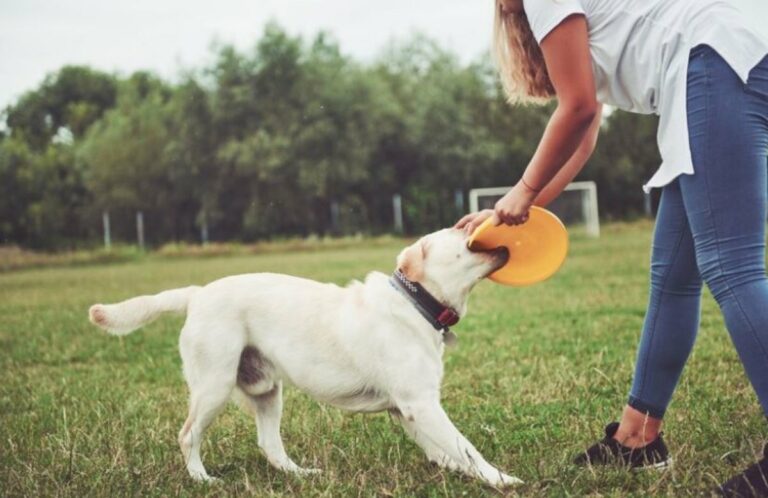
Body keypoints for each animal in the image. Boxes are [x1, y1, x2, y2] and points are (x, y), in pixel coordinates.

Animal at [90, 229, 520, 486]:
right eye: (462, 232)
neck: (417, 303)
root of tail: (197, 293)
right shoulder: (421, 404)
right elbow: (465, 446)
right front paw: (499, 479)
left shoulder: (408, 409)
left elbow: (444, 450)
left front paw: (460, 472)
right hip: (214, 386)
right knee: (187, 435)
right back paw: (202, 479)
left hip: (266, 390)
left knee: (269, 444)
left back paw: (300, 474)